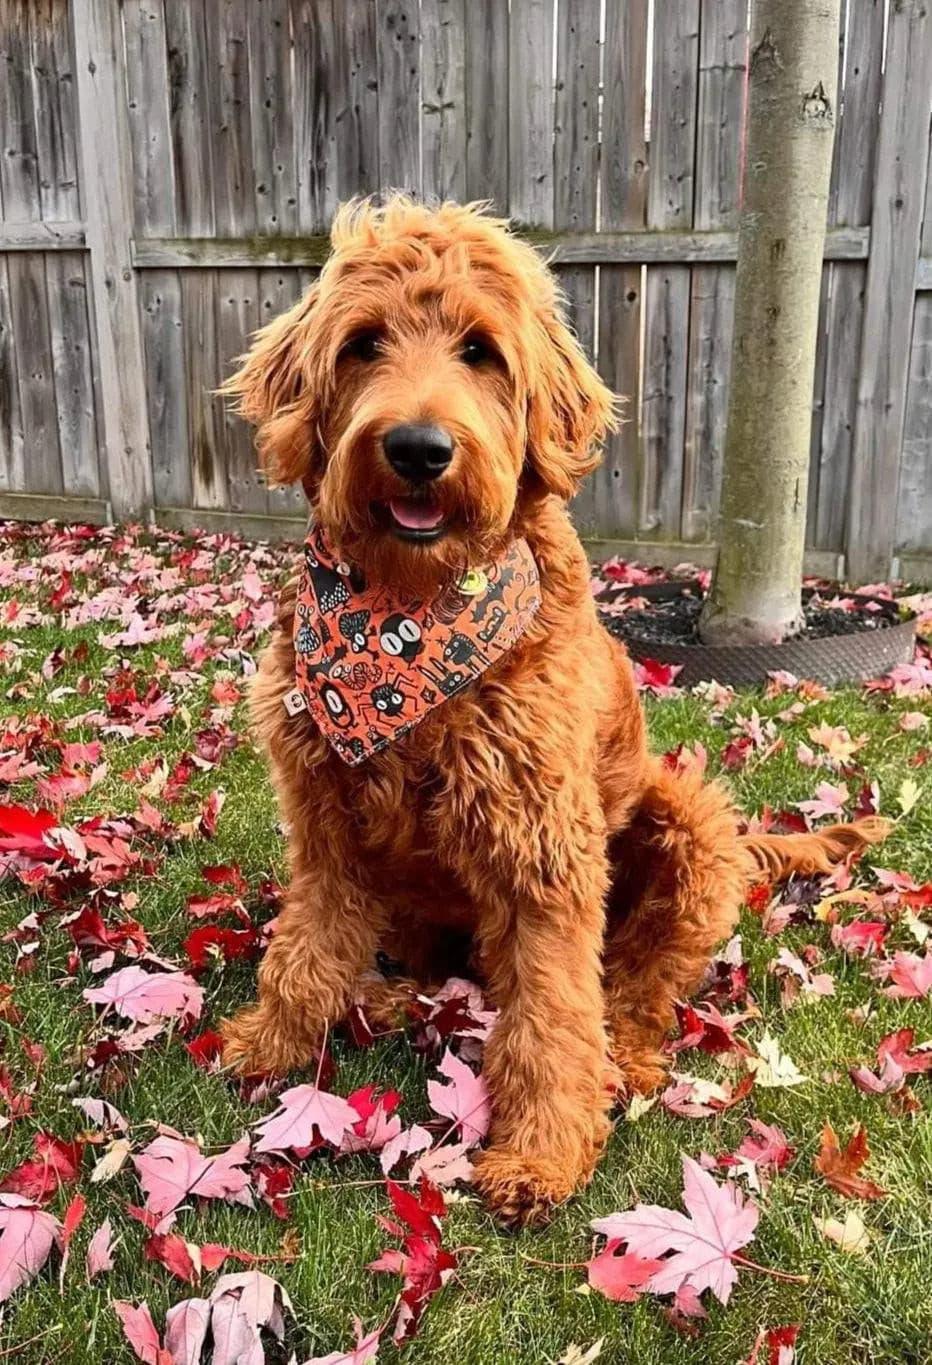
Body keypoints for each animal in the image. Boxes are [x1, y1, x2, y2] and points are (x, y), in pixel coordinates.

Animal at [221, 199, 889, 1228]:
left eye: (480, 351)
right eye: (364, 342)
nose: (419, 449)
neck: (408, 625)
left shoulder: (544, 853)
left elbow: (549, 1017)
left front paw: (539, 1153)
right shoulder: (328, 822)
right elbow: (302, 949)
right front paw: (271, 1040)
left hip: (689, 827)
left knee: (637, 991)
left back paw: (632, 1058)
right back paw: (396, 996)